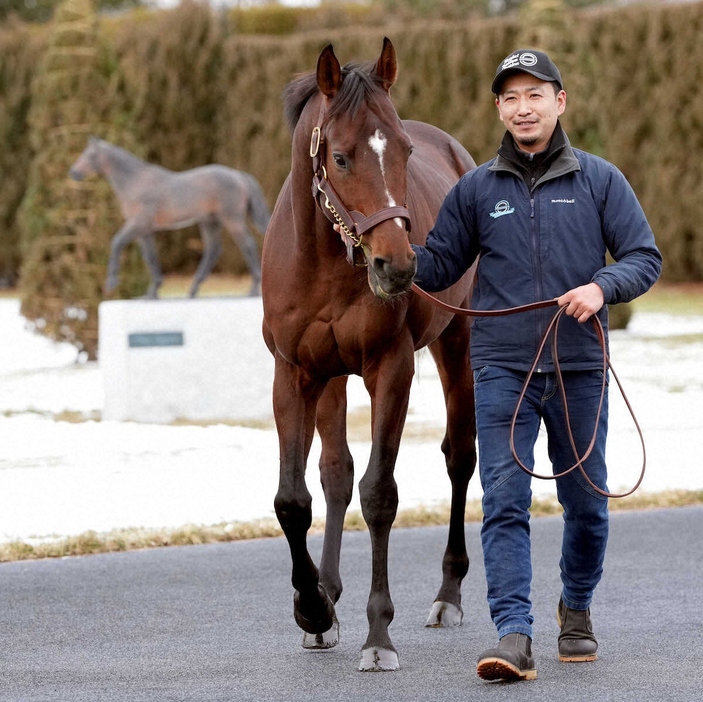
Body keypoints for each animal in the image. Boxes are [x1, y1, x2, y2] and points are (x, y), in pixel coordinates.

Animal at [69, 138, 270, 300]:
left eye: (89, 155)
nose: (73, 173)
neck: (135, 182)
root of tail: (238, 175)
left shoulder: (137, 224)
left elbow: (117, 243)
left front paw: (111, 284)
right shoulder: (145, 230)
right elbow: (150, 256)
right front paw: (152, 292)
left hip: (231, 220)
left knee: (247, 244)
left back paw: (253, 290)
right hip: (210, 222)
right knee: (213, 250)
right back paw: (193, 290)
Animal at [262, 40, 478, 676]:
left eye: (403, 150)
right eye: (339, 156)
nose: (397, 265)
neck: (326, 261)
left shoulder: (391, 368)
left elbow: (380, 494)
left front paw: (378, 634)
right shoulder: (295, 374)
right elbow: (295, 498)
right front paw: (312, 607)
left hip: (456, 342)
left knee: (460, 457)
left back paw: (447, 595)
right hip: (332, 379)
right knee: (335, 473)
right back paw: (328, 592)